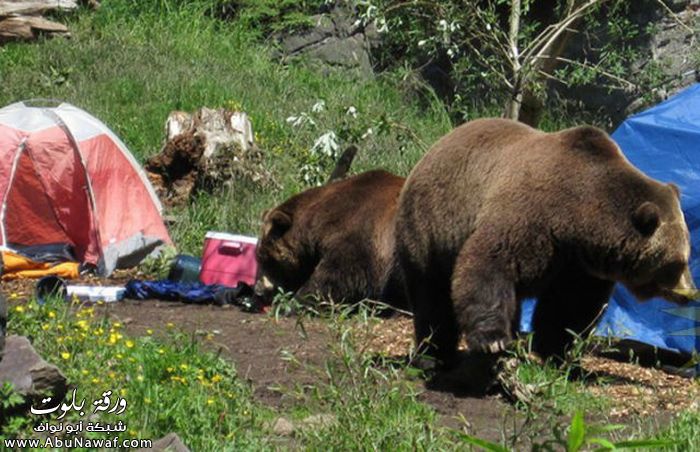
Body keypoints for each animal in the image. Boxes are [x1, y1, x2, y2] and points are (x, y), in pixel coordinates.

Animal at [254, 170, 404, 308]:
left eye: (264, 258)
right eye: (258, 256)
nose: (258, 291)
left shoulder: (360, 233)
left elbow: (337, 274)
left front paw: (296, 302)